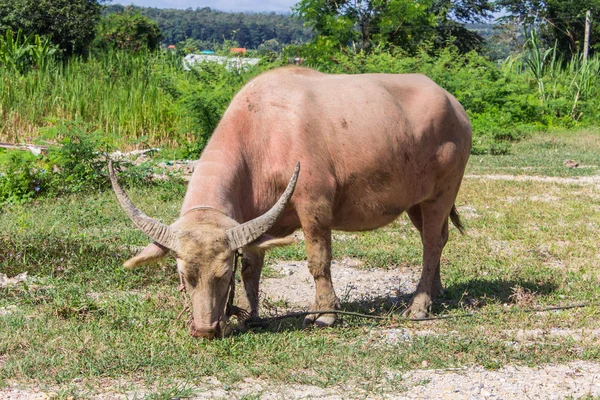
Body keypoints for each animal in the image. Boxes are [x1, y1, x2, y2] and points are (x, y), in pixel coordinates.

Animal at [110, 67, 472, 340]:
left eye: (223, 275)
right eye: (183, 276)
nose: (205, 330)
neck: (265, 136)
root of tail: (454, 104)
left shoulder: (315, 207)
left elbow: (318, 262)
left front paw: (324, 314)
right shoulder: (253, 221)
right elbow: (252, 267)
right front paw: (250, 315)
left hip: (442, 191)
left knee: (431, 241)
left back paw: (419, 305)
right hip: (416, 202)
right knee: (436, 238)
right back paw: (436, 291)